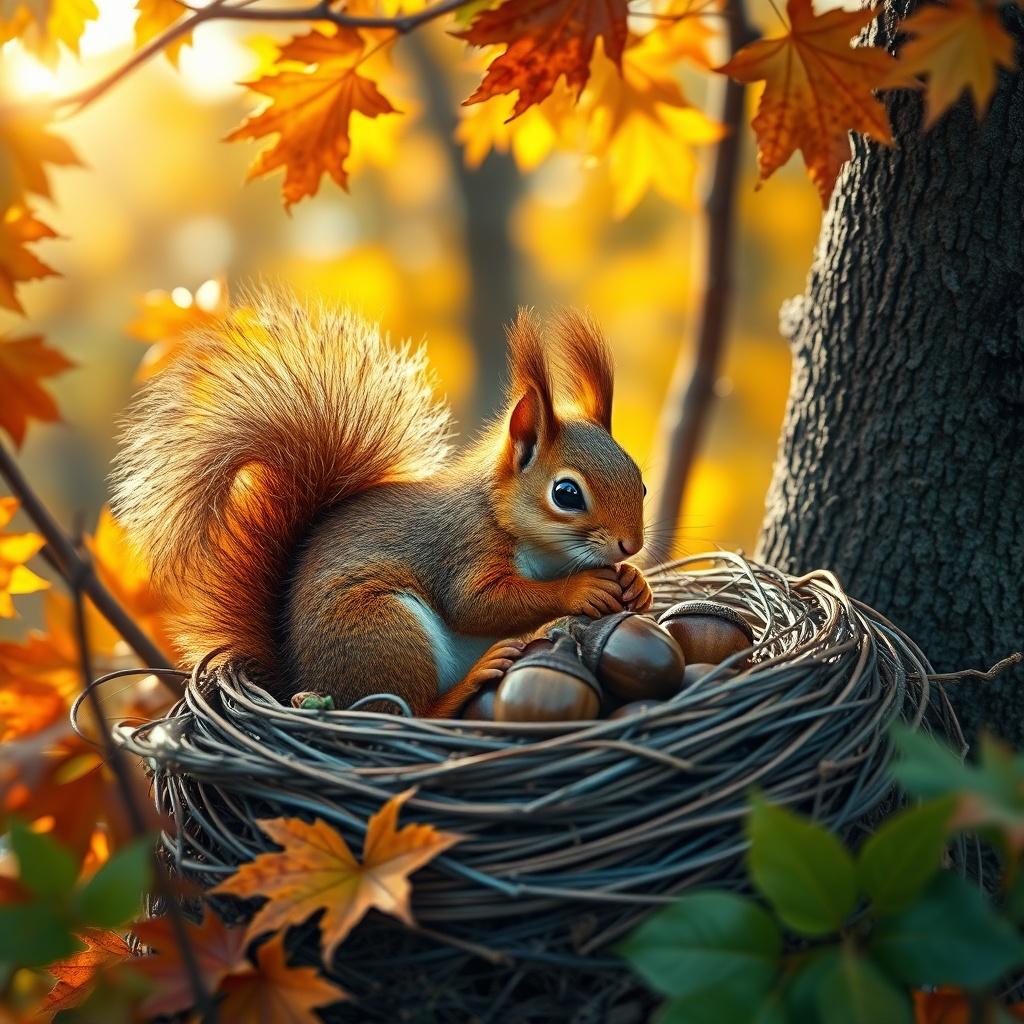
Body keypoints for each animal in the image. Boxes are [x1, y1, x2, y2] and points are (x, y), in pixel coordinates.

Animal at [112, 288, 652, 717]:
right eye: (566, 494)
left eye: (642, 483)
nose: (629, 545)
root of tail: (297, 679)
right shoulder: (463, 548)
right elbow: (477, 605)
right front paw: (581, 589)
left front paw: (636, 583)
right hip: (383, 628)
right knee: (408, 710)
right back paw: (467, 684)